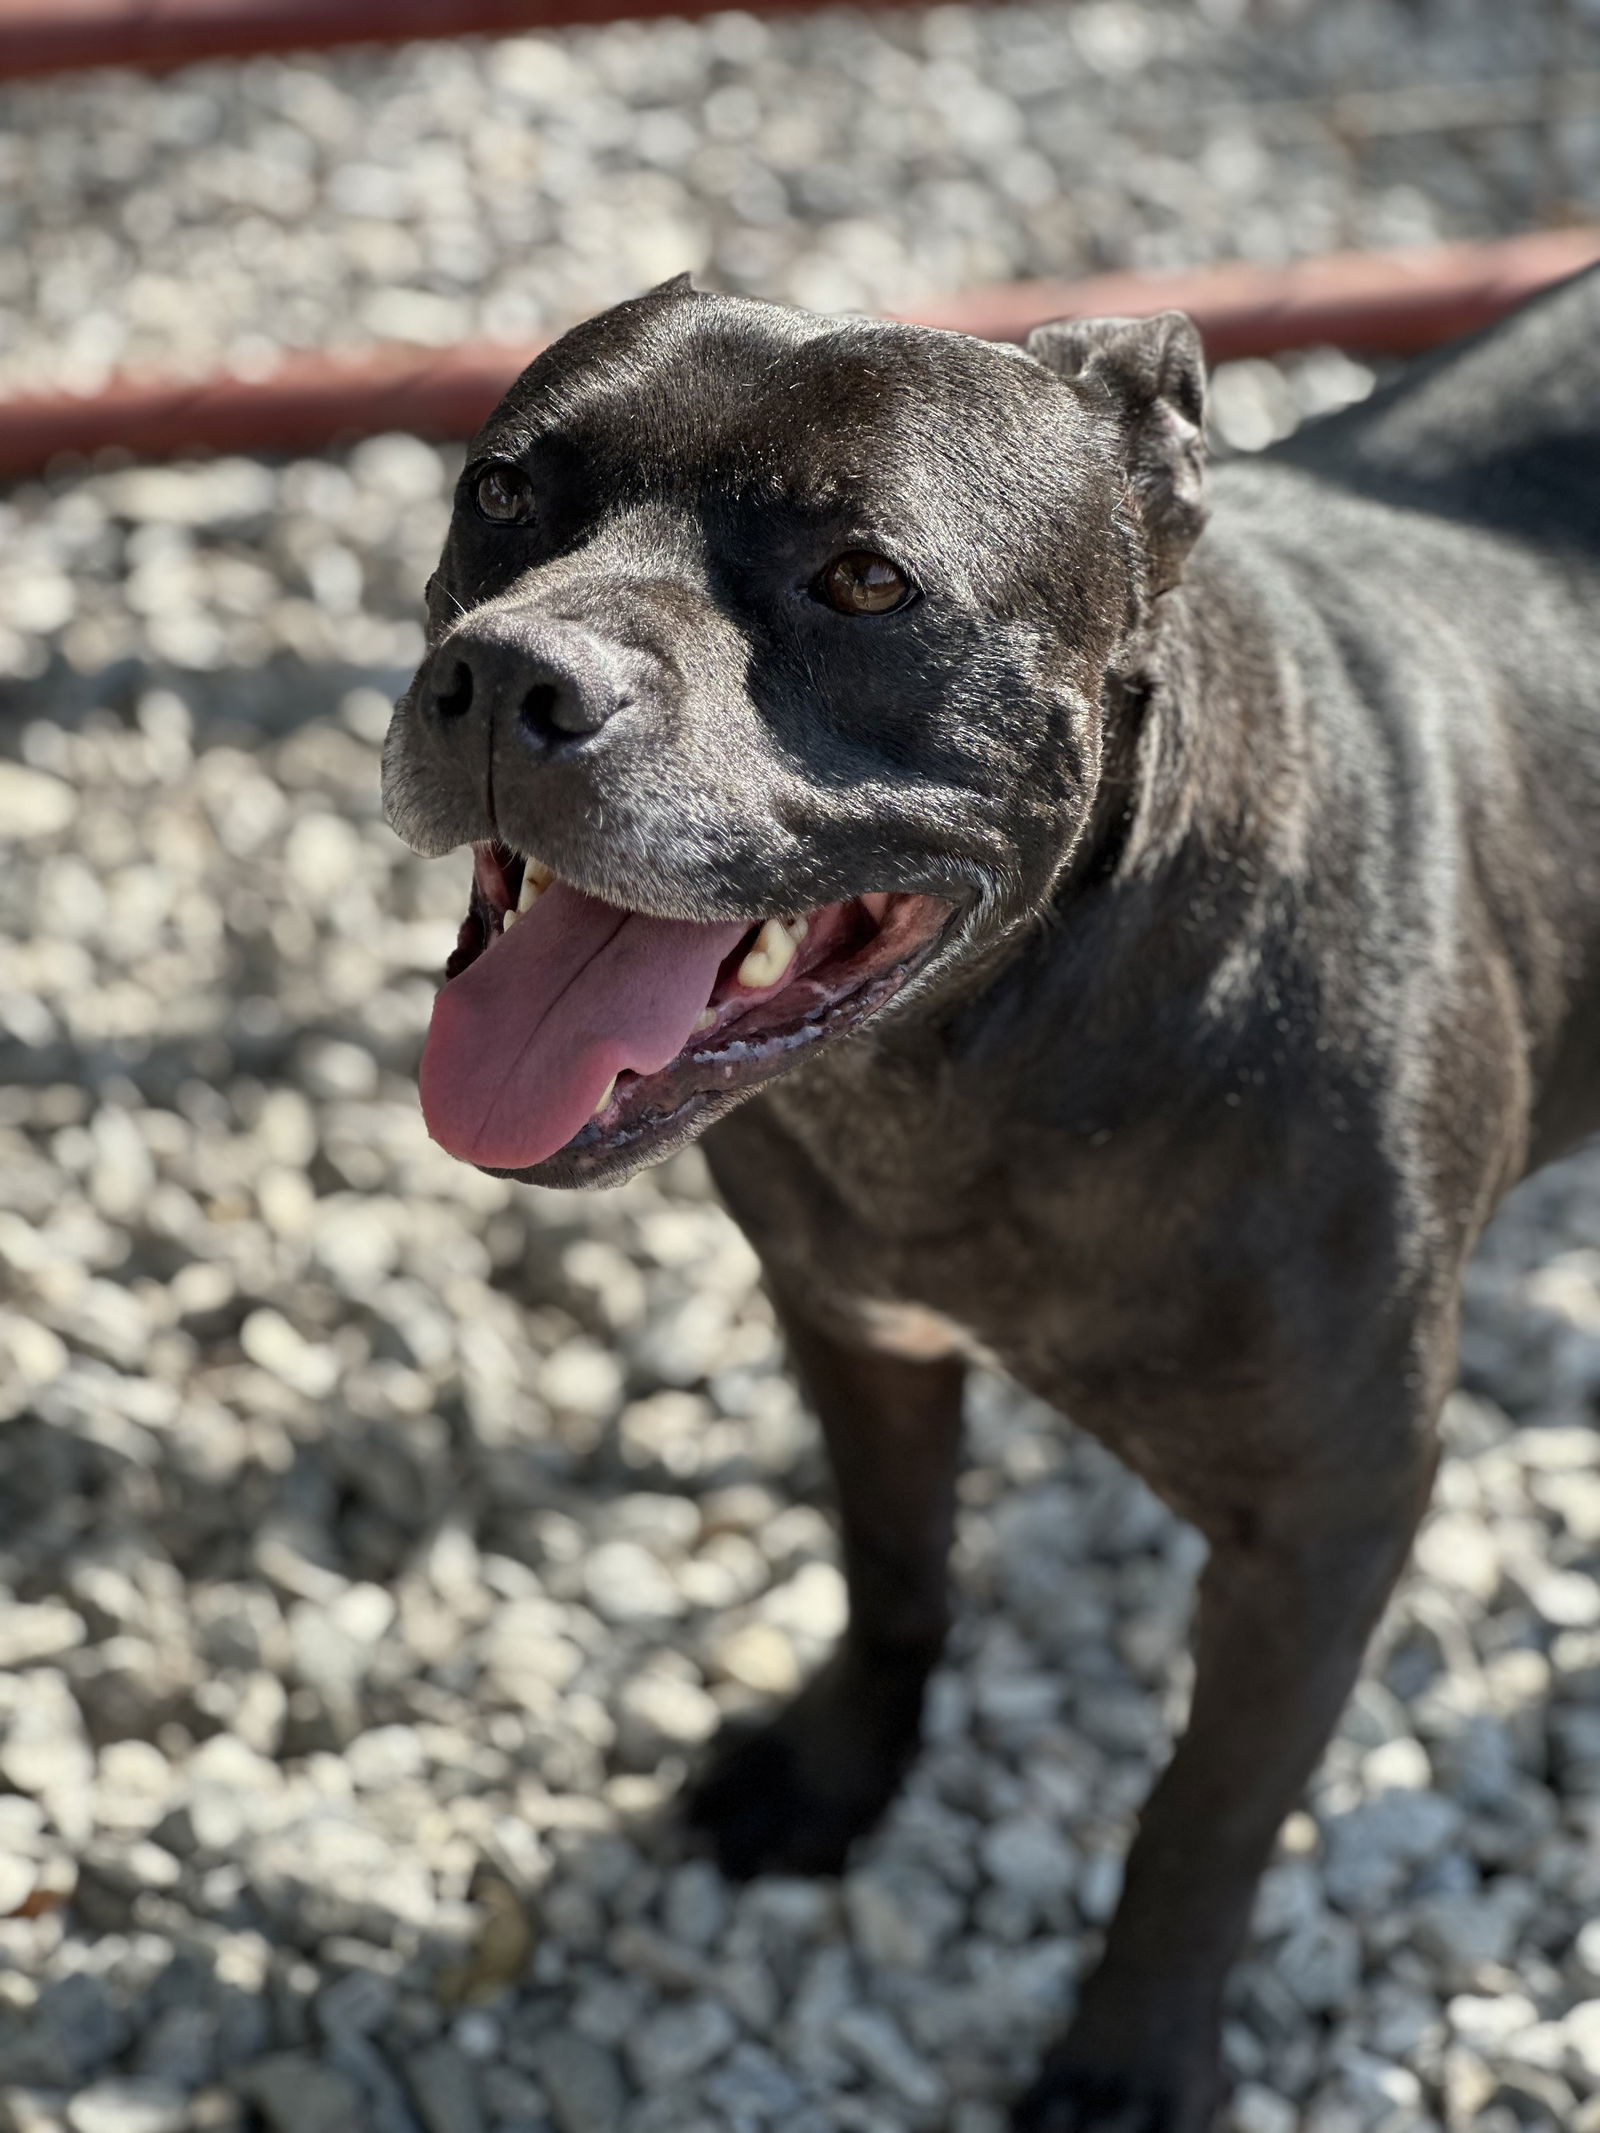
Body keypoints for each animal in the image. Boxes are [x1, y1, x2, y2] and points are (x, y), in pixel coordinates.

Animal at [388, 270, 1600, 2133]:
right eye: (506, 493)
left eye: (865, 581)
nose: (508, 670)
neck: (977, 1061)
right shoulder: (856, 1325)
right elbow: (893, 1567)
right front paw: (838, 1772)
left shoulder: (1326, 1523)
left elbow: (1205, 1811)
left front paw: (1130, 2054)